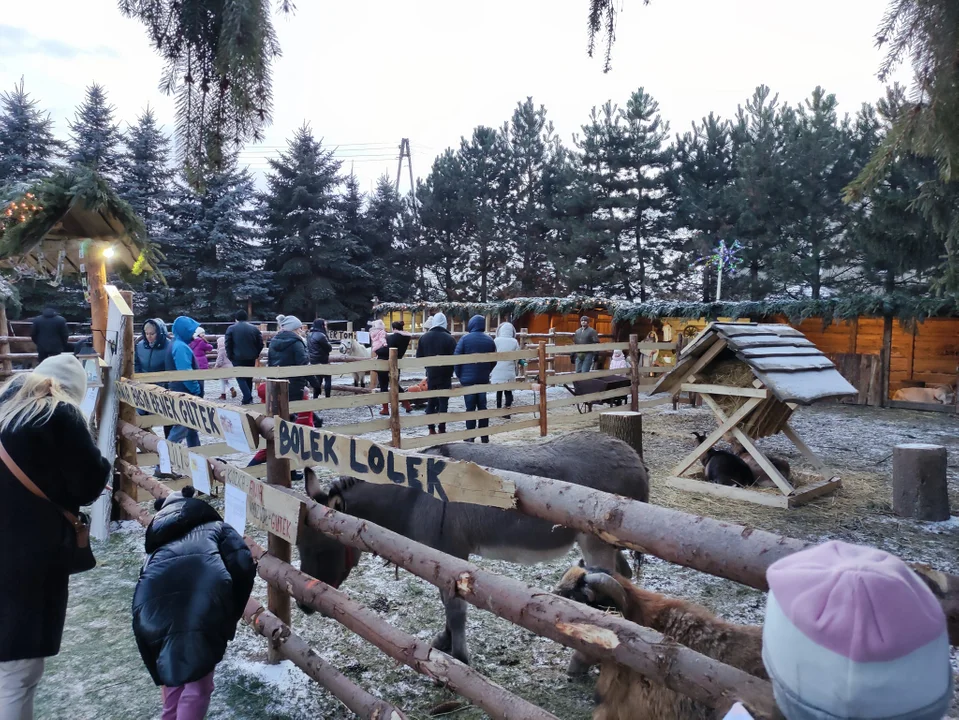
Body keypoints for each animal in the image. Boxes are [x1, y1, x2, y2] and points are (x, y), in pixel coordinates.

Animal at [298, 430, 652, 668]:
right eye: (300, 546)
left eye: (324, 548)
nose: (303, 606)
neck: (416, 495)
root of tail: (632, 456)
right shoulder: (438, 558)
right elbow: (446, 603)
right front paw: (444, 642)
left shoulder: (452, 555)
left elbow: (456, 610)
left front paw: (460, 659)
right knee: (623, 578)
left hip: (595, 544)